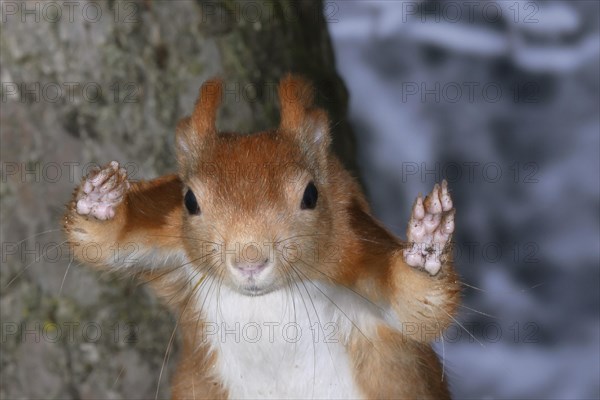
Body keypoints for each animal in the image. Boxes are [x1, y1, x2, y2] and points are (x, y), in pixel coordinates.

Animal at [64, 76, 460, 400]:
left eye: (311, 195)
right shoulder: (171, 245)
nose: (249, 260)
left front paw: (426, 243)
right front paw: (100, 201)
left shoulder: (357, 256)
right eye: (189, 200)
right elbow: (98, 246)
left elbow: (419, 309)